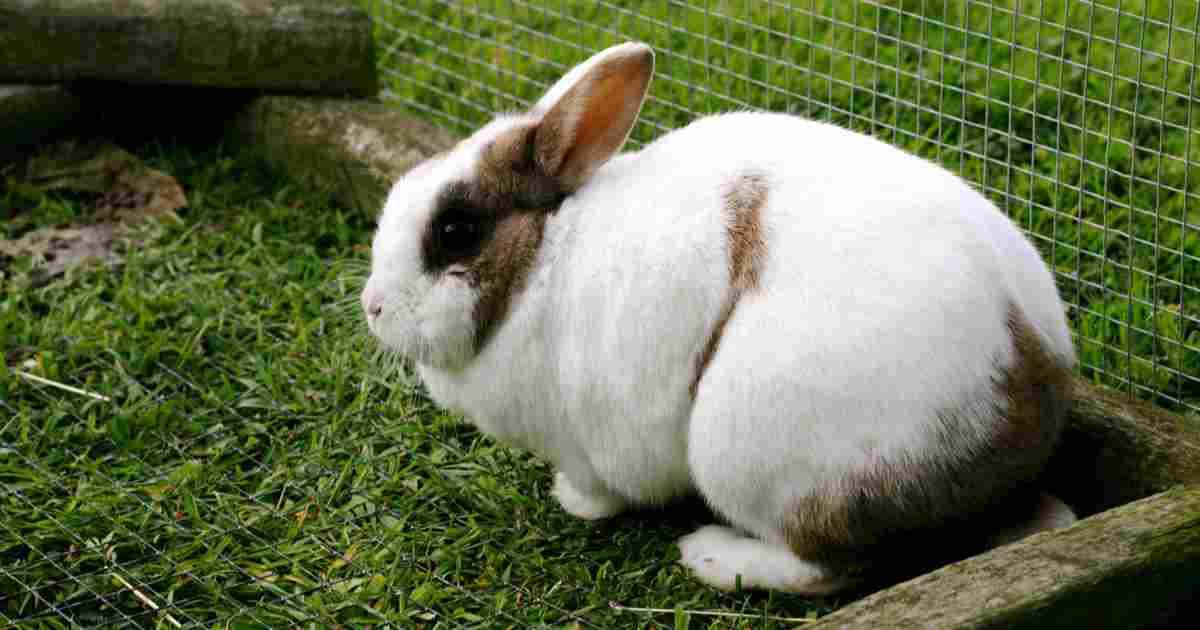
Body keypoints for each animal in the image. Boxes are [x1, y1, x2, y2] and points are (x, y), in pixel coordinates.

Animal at [360, 41, 1079, 594]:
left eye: (456, 231)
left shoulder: (591, 442)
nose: (373, 307)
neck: (540, 260)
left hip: (757, 453)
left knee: (831, 567)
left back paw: (710, 554)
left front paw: (571, 501)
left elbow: (600, 489)